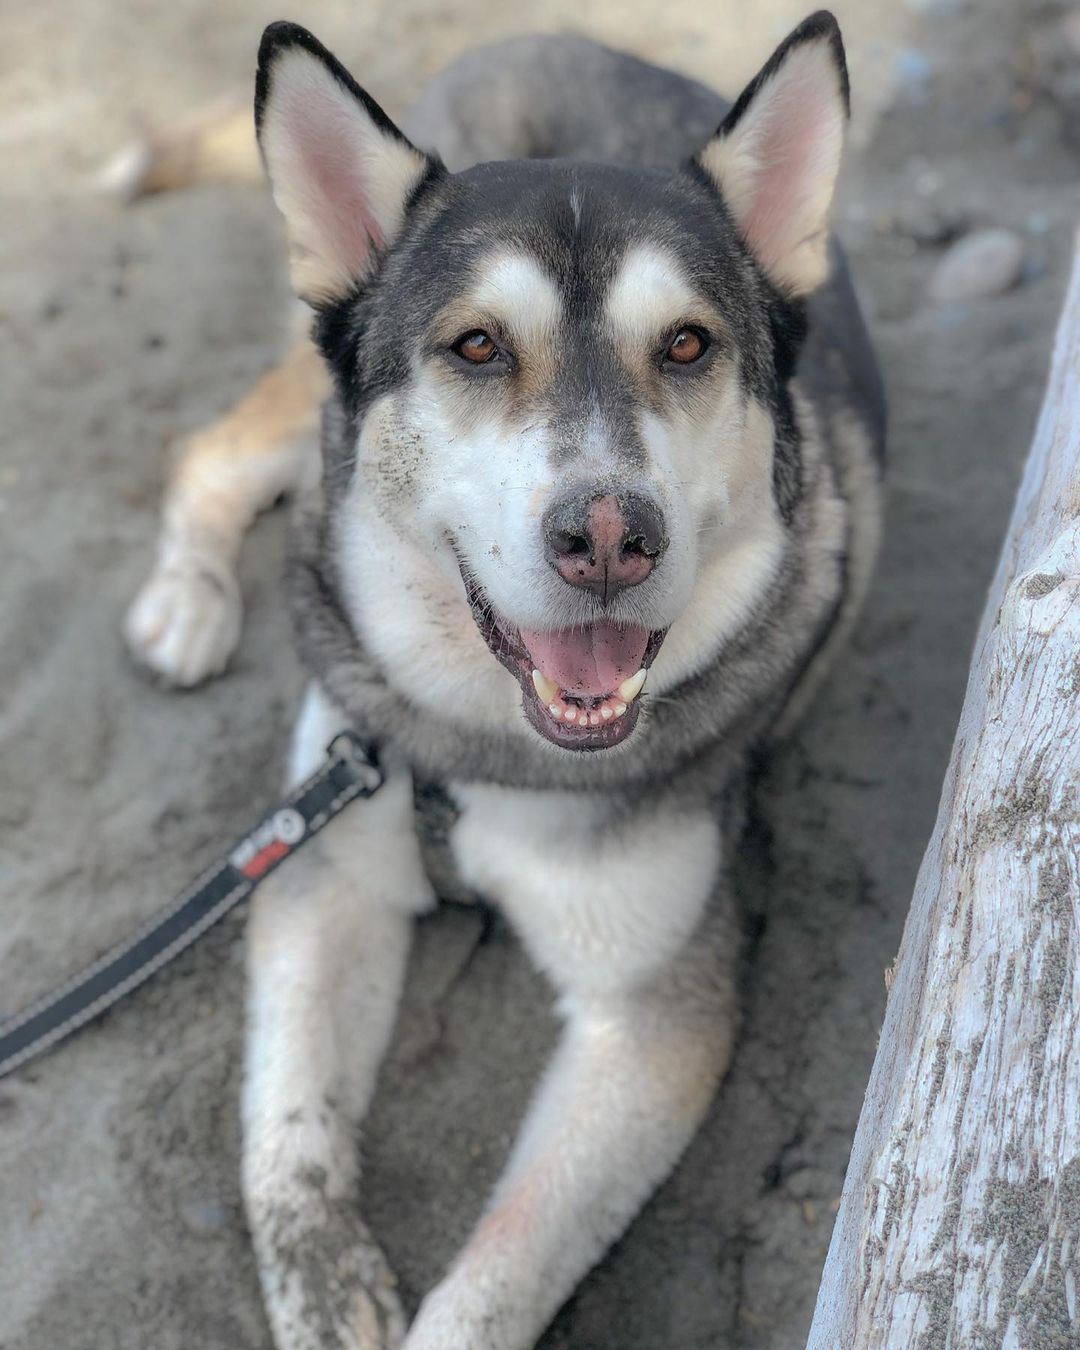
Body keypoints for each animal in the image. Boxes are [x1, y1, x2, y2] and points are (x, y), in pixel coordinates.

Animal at [126, 13, 885, 1350]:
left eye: (688, 344)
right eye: (478, 345)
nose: (609, 537)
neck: (485, 753)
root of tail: (546, 30)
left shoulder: (650, 1017)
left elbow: (497, 1279)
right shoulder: (325, 870)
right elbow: (287, 1139)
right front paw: (327, 1290)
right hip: (302, 381)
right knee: (208, 451)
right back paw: (189, 599)